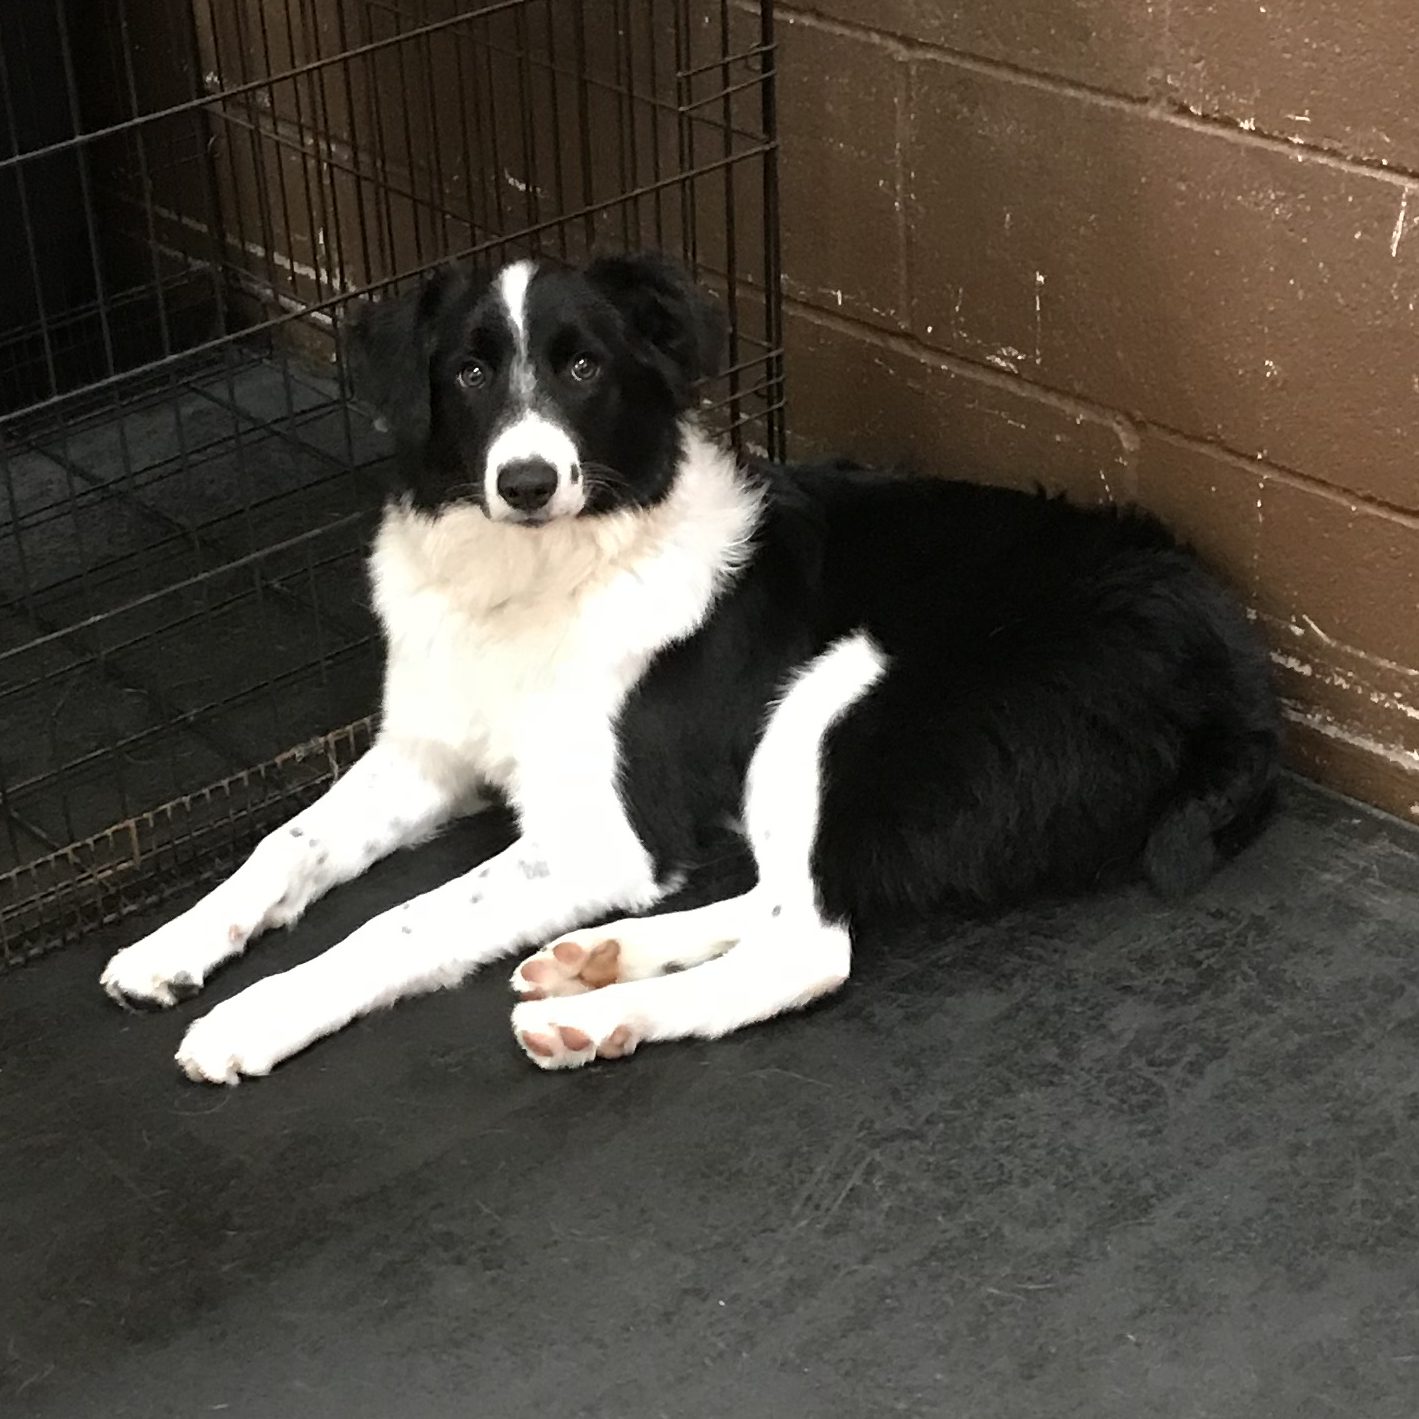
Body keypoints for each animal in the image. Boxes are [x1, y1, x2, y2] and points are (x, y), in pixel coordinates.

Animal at [97, 252, 1277, 1084]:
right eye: (469, 371)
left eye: (582, 366)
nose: (528, 481)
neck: (541, 572)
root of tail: (1237, 673)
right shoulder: (428, 751)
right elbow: (282, 842)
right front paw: (176, 943)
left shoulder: (604, 835)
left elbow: (402, 919)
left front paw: (260, 1012)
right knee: (777, 895)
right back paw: (597, 959)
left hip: (831, 698)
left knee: (808, 944)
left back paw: (594, 1012)